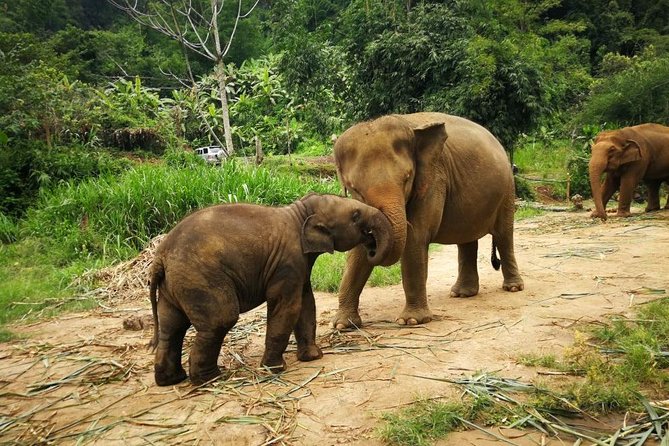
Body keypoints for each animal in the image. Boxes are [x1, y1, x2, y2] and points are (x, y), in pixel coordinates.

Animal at [148, 193, 392, 386]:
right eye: (356, 215)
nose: (372, 246)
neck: (300, 212)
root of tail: (159, 257)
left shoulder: (299, 265)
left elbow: (306, 303)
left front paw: (313, 357)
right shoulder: (287, 263)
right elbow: (288, 307)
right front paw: (275, 369)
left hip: (174, 286)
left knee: (171, 326)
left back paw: (171, 380)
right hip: (200, 279)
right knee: (220, 320)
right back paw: (212, 379)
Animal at [331, 112, 524, 329]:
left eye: (407, 178)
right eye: (354, 188)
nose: (374, 245)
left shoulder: (433, 180)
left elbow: (415, 239)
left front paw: (412, 321)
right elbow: (357, 251)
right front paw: (342, 325)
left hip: (507, 189)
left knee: (503, 235)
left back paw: (513, 288)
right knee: (467, 239)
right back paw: (461, 294)